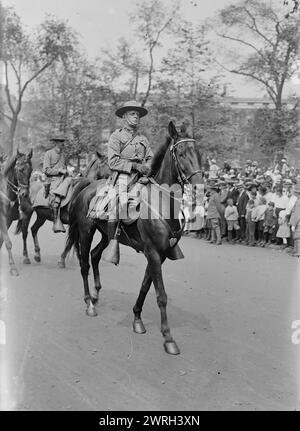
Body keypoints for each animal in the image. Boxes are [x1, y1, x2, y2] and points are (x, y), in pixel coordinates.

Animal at [64, 121, 203, 354]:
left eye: (199, 153)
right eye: (182, 153)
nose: (199, 187)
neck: (162, 202)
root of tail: (89, 185)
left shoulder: (159, 255)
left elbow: (146, 286)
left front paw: (137, 319)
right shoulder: (153, 253)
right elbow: (161, 295)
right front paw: (168, 338)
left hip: (107, 235)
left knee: (94, 255)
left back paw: (96, 295)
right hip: (86, 232)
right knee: (84, 264)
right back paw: (89, 303)